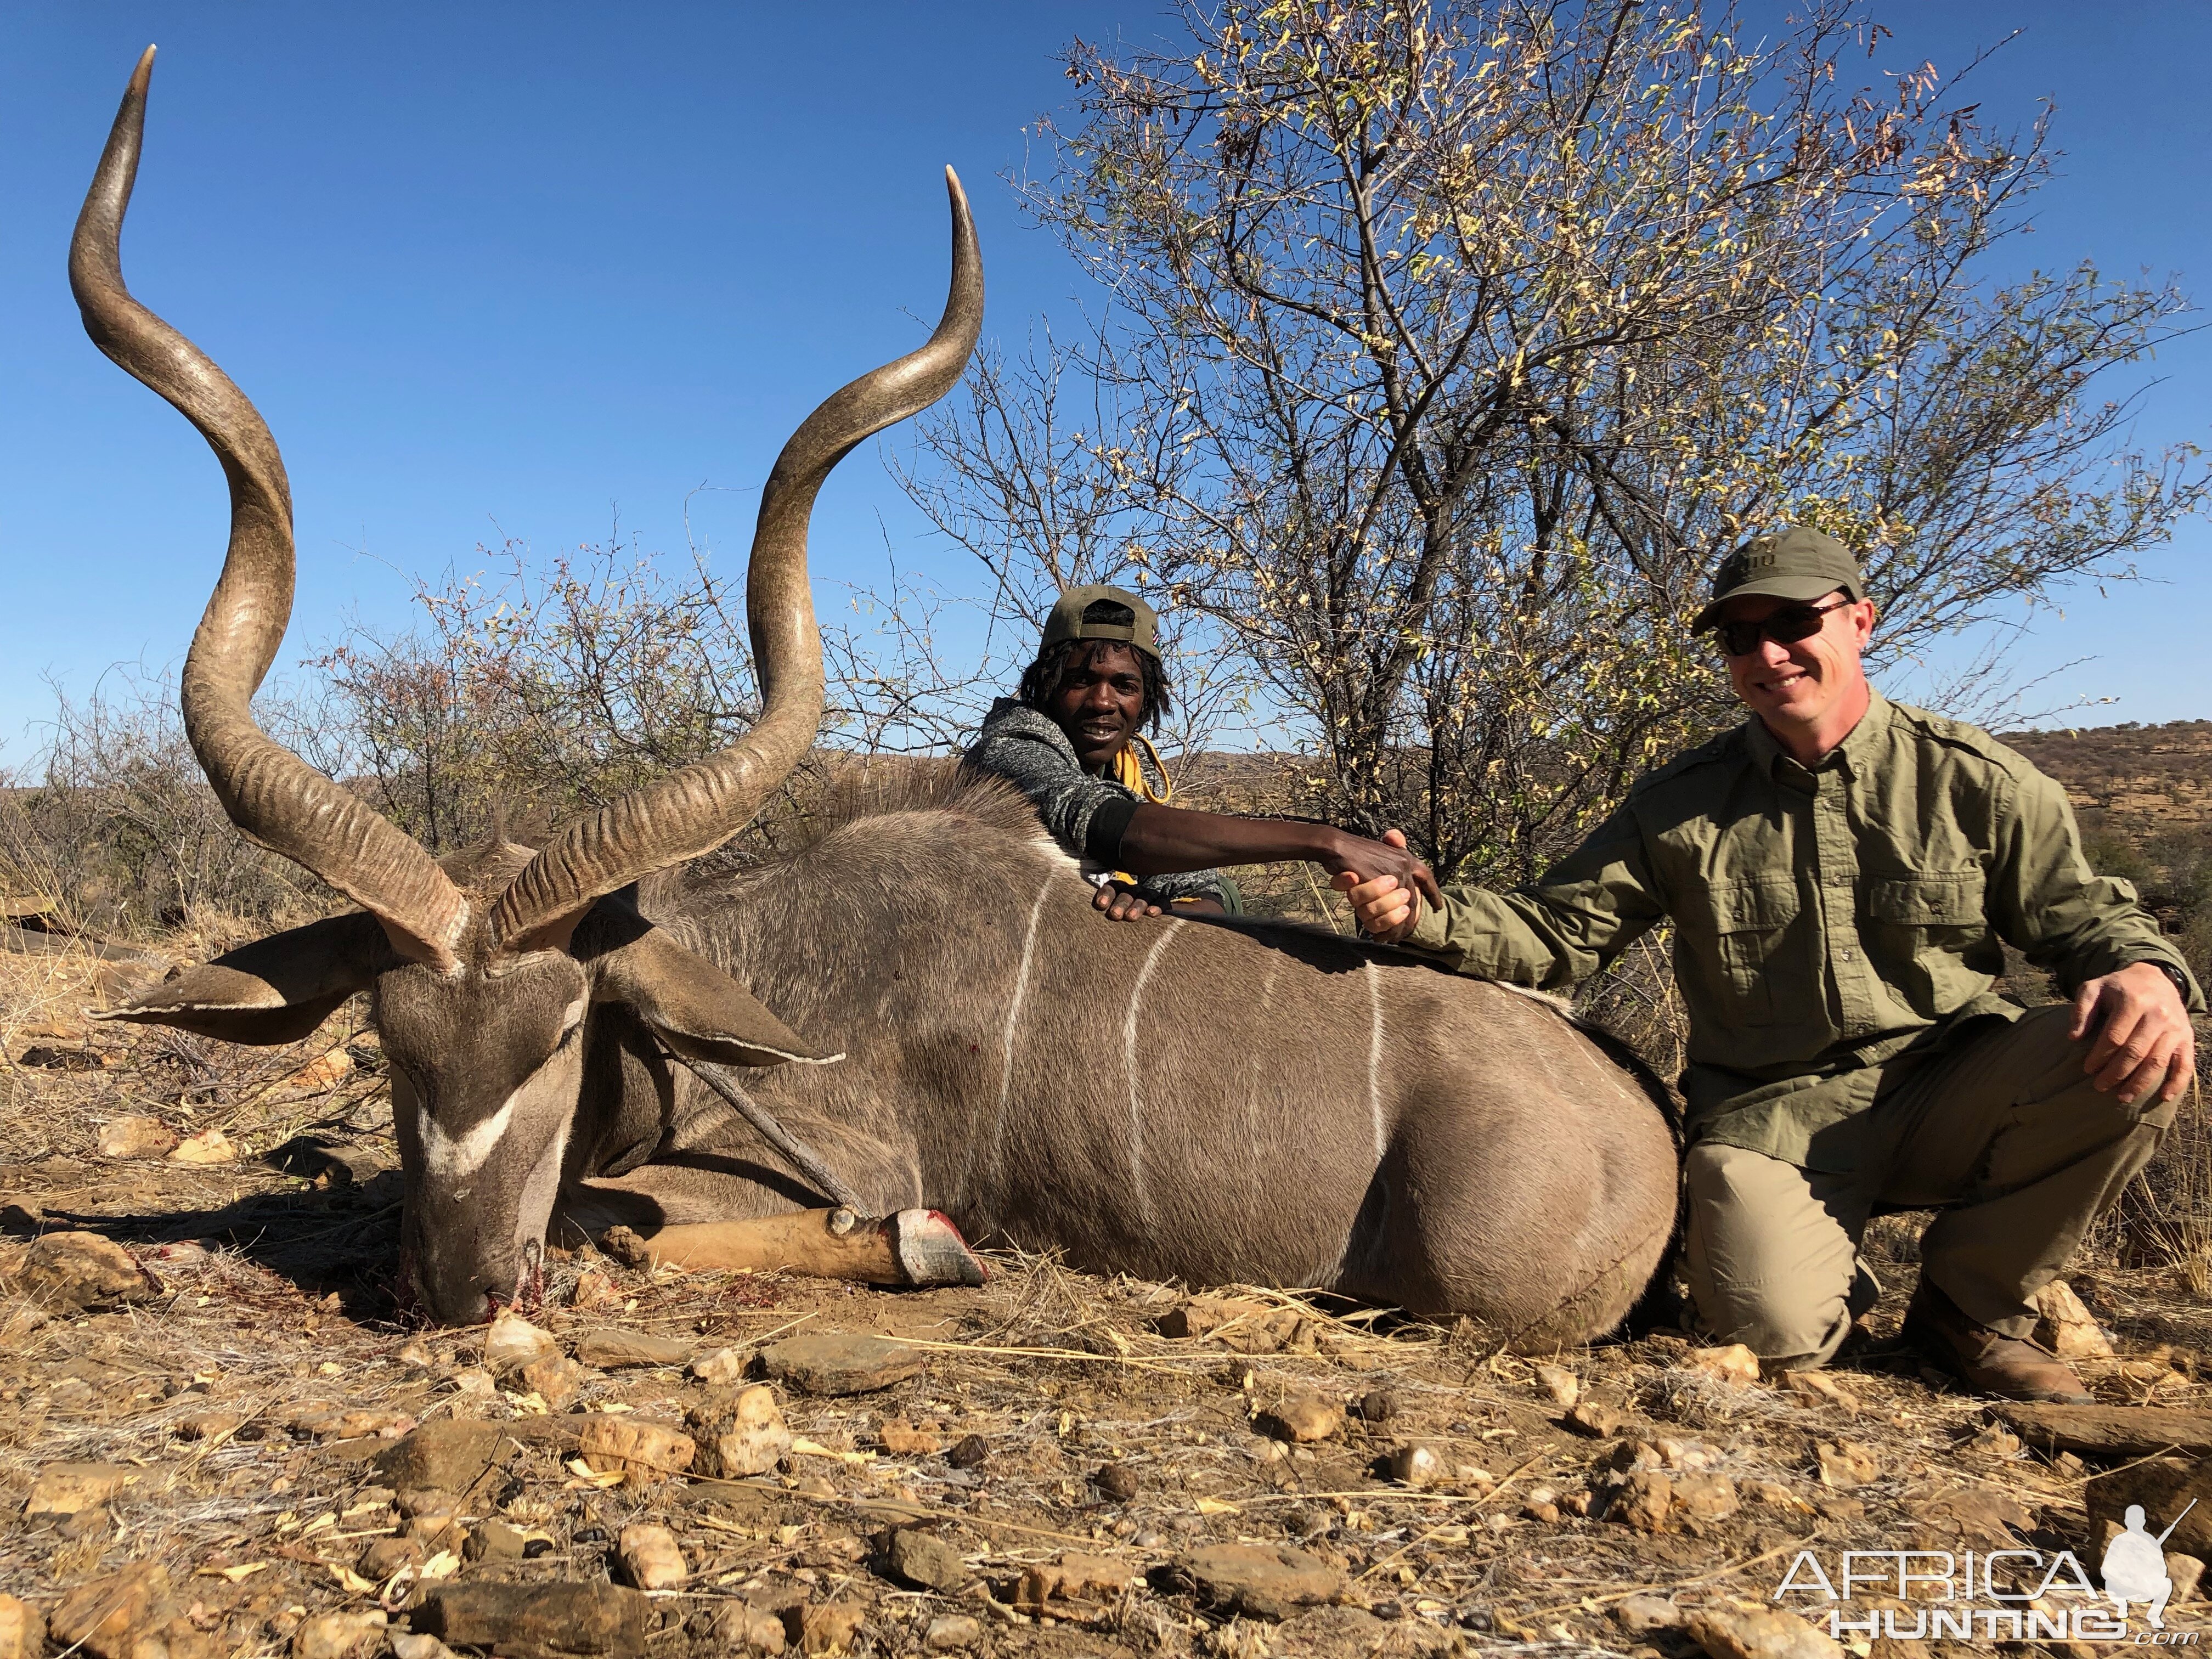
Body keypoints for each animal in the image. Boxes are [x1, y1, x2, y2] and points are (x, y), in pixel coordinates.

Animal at [82, 52, 1672, 1345]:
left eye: (558, 1039)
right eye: (389, 1045)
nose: (461, 1288)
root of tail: (1639, 1120)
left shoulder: (827, 1161)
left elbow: (655, 1229)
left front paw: (937, 1250)